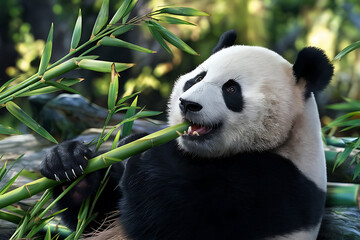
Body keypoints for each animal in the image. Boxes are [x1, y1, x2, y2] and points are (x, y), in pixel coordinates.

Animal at [40, 31, 334, 239]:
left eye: (231, 90)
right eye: (197, 78)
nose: (188, 104)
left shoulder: (271, 190)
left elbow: (164, 219)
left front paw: (143, 152)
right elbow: (98, 217)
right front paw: (67, 162)